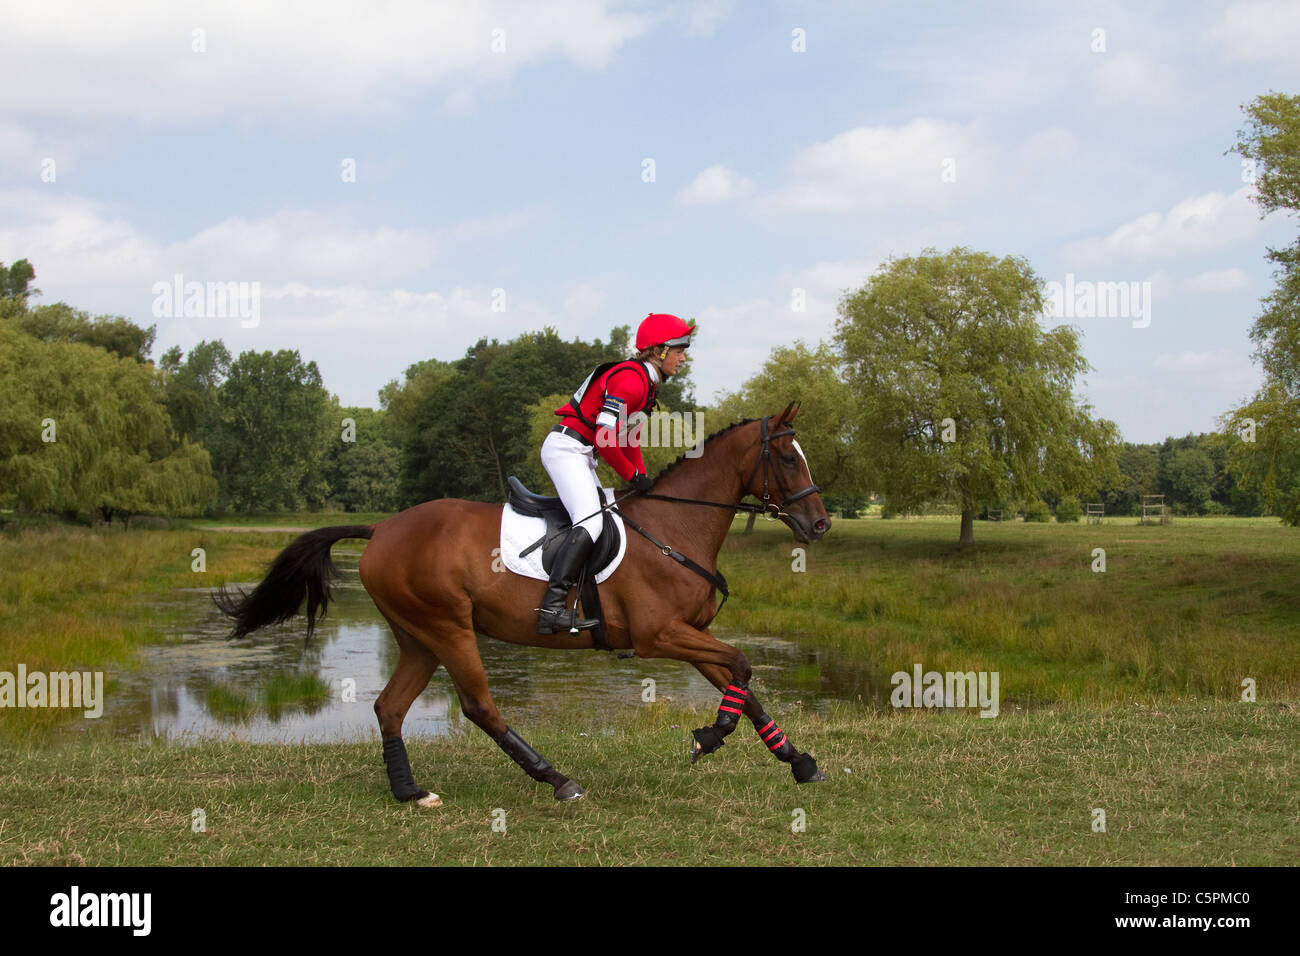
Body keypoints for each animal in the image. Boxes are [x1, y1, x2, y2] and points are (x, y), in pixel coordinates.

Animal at [214, 402, 832, 805]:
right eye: (788, 458)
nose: (821, 524)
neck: (675, 525)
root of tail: (383, 527)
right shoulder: (659, 635)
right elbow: (743, 667)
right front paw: (710, 736)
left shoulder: (689, 634)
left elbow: (742, 684)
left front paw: (798, 761)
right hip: (448, 628)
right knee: (479, 707)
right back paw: (558, 780)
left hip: (418, 637)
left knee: (390, 707)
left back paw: (410, 792)